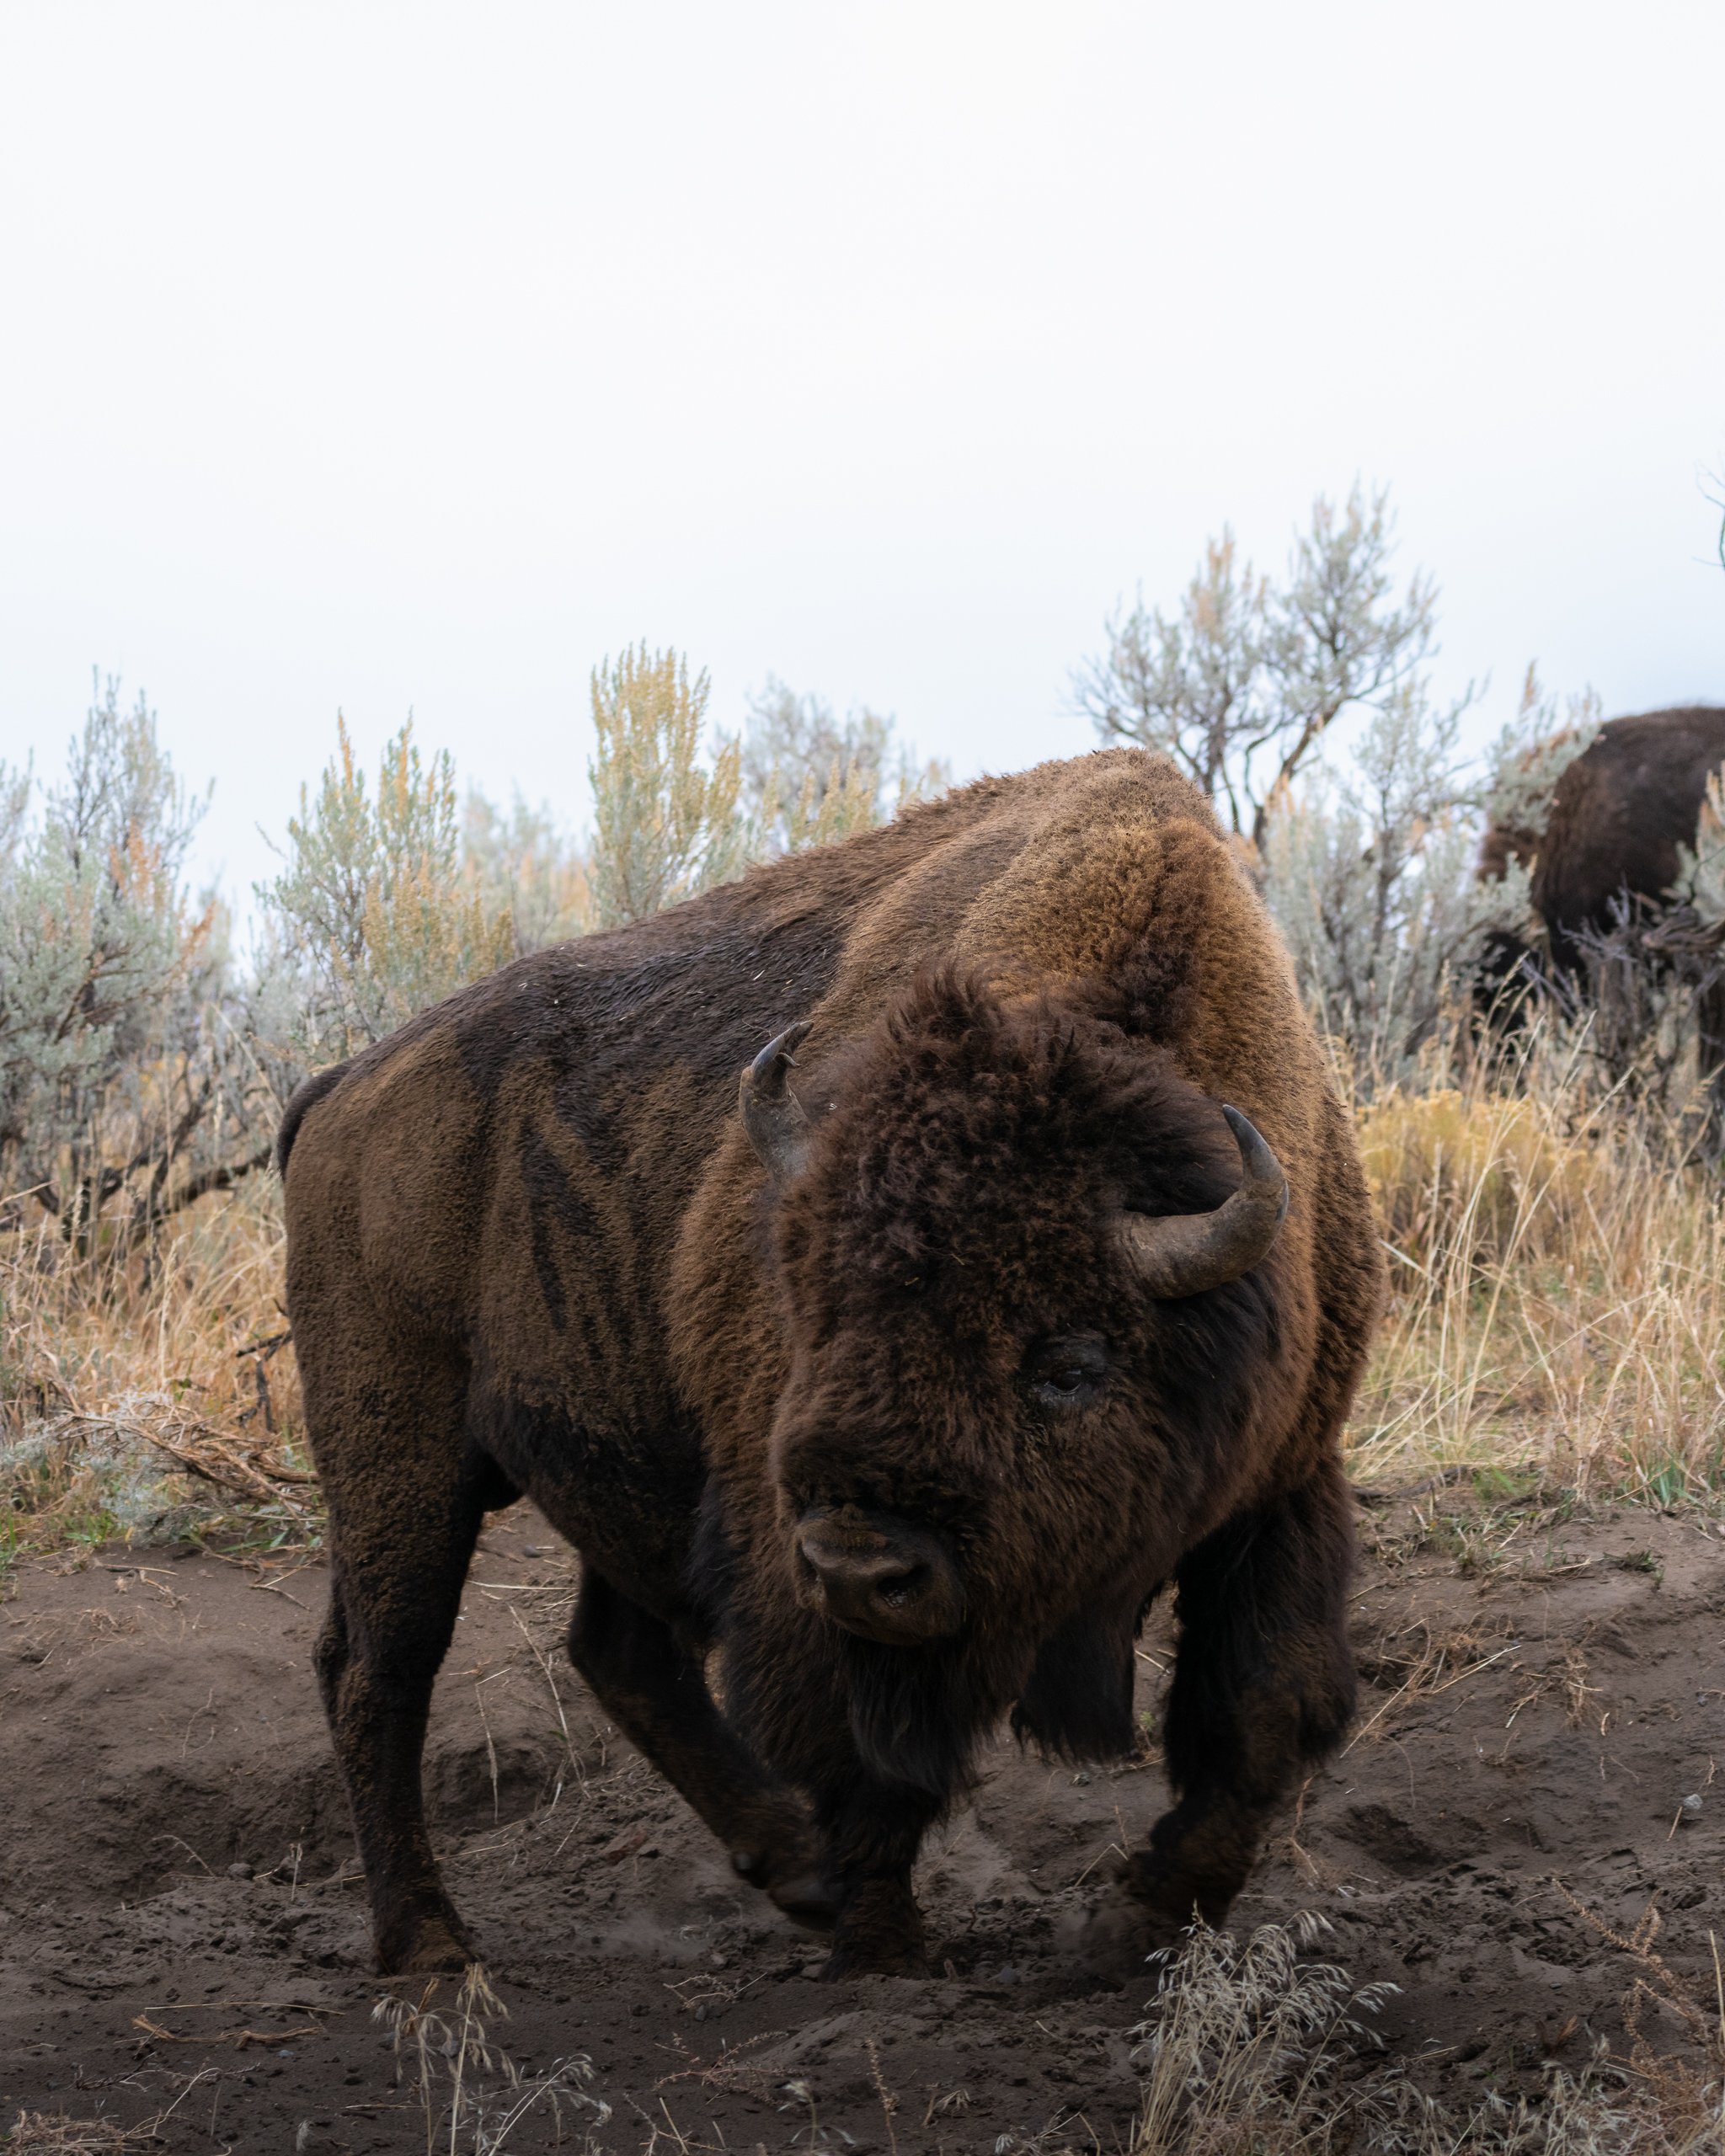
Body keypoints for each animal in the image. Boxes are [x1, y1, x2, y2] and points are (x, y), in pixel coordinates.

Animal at [280, 748, 1384, 1978]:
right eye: (814, 1310)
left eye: (1069, 1363)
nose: (865, 1565)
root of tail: (343, 1087)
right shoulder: (785, 1537)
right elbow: (858, 1736)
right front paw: (888, 1942)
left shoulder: (1278, 1484)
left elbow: (1264, 1706)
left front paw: (1135, 1919)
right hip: (401, 1454)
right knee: (380, 1669)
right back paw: (431, 1946)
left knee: (617, 1653)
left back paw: (790, 1870)